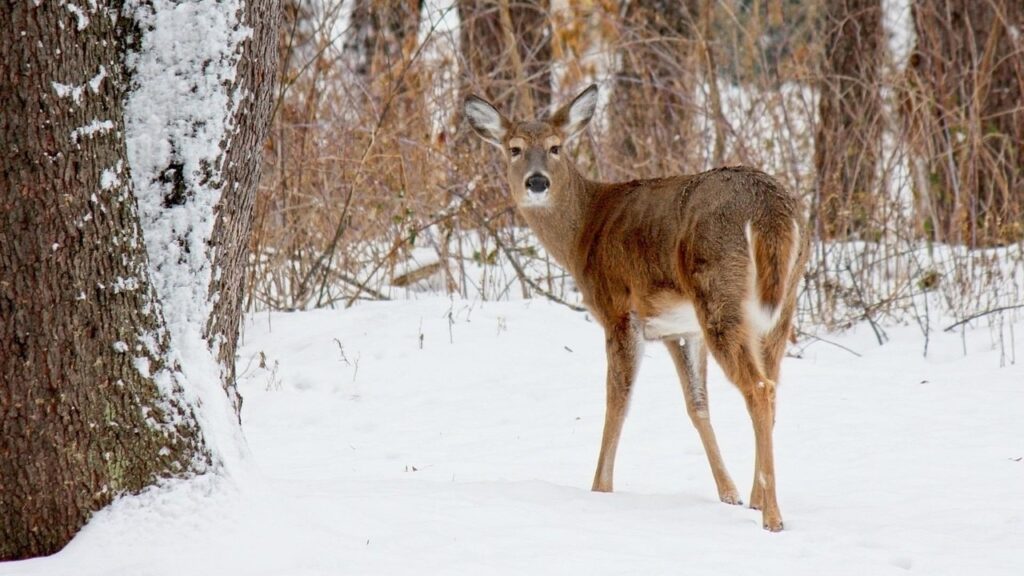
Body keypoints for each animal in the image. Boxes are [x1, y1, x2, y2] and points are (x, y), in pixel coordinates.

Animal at [463, 84, 808, 531]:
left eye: (556, 147)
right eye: (514, 148)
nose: (537, 181)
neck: (583, 232)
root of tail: (769, 211)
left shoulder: (617, 309)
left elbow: (617, 401)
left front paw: (599, 488)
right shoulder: (676, 328)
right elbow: (697, 405)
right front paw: (728, 493)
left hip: (718, 291)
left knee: (761, 387)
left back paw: (772, 516)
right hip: (780, 306)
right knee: (772, 384)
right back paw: (756, 498)